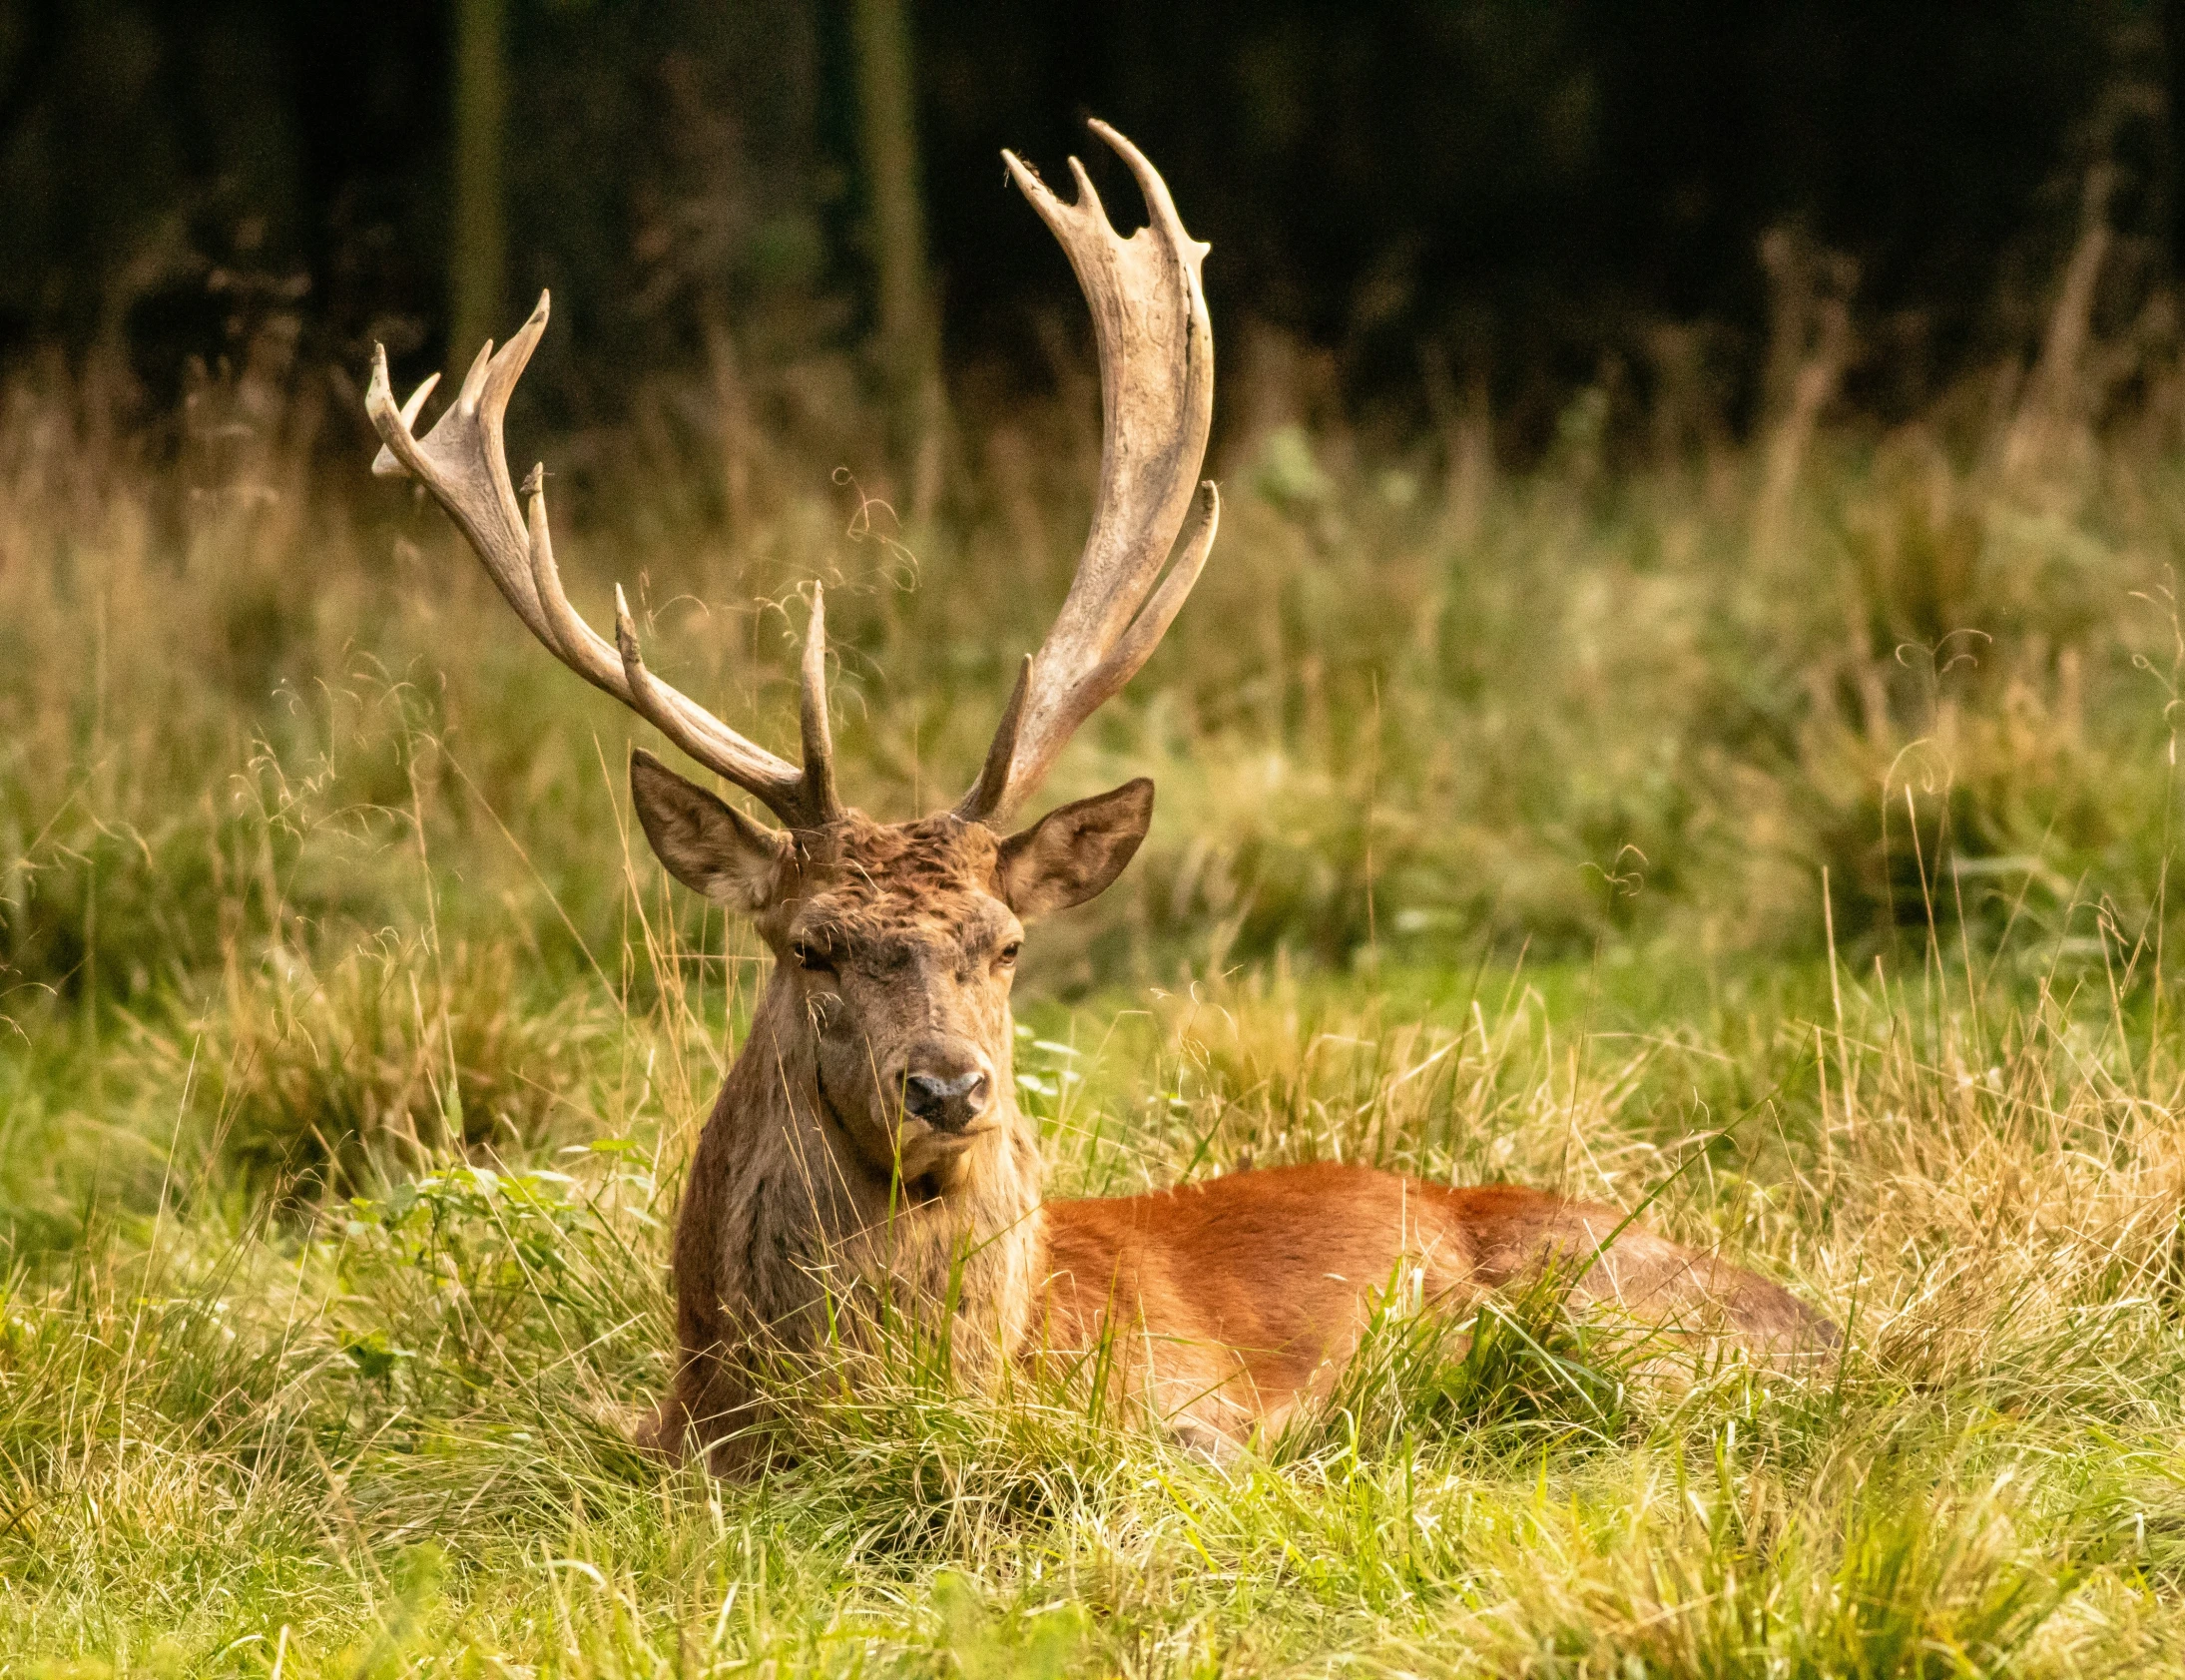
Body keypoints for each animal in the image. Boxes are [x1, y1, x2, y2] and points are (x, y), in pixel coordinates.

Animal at [366, 121, 1835, 1467]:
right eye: (813, 946)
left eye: (1007, 943)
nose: (949, 1088)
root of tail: (1834, 1329)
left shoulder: (1190, 1414)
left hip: (1610, 1312)